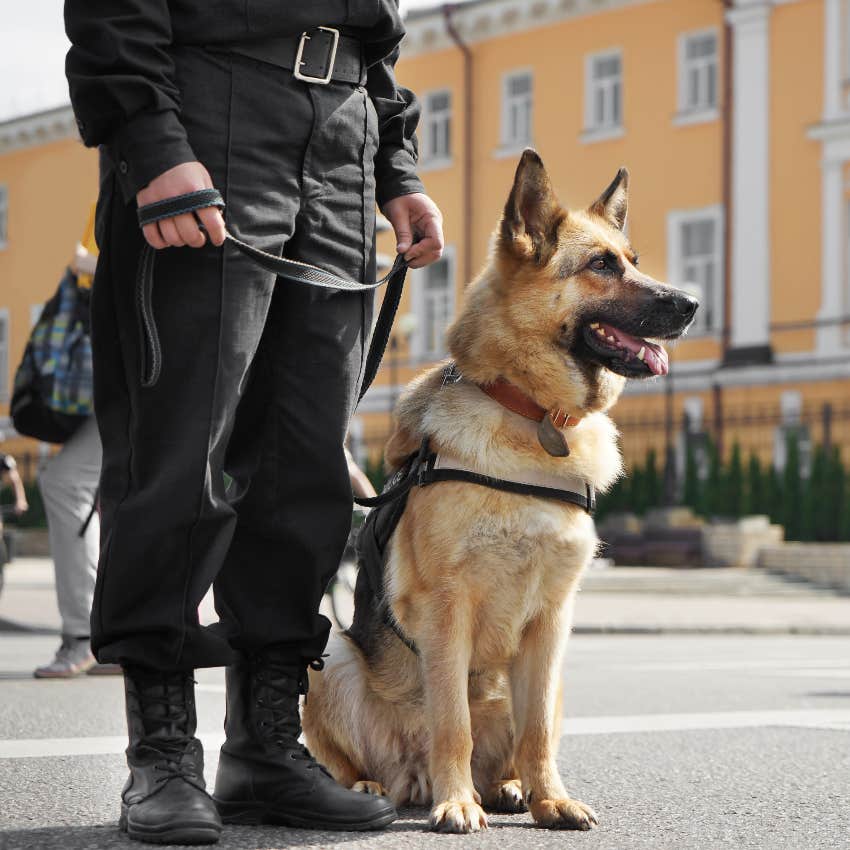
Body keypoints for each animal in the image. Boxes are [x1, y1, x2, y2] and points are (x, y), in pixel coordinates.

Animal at [304, 149, 696, 832]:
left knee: (517, 742)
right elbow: (451, 721)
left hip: (558, 679)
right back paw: (375, 788)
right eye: (601, 266)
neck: (532, 415)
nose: (693, 303)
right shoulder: (447, 609)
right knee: (359, 758)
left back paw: (510, 787)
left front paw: (550, 799)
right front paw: (456, 802)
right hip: (328, 657)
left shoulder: (552, 622)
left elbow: (535, 730)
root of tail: (408, 778)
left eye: (632, 260)